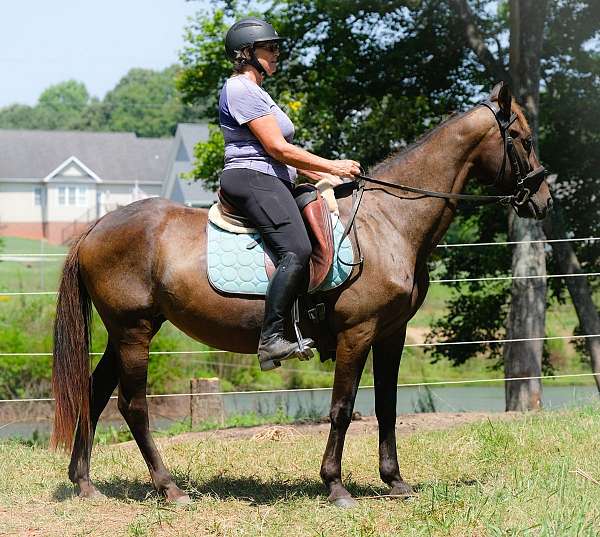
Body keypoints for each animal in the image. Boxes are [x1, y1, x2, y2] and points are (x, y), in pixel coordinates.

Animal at [51, 84, 552, 506]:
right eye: (523, 139)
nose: (544, 200)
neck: (388, 221)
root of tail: (96, 226)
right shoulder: (357, 333)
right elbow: (343, 409)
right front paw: (336, 486)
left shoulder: (391, 334)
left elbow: (387, 407)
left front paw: (395, 482)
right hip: (133, 331)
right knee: (132, 406)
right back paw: (169, 488)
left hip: (127, 332)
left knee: (94, 394)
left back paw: (85, 484)